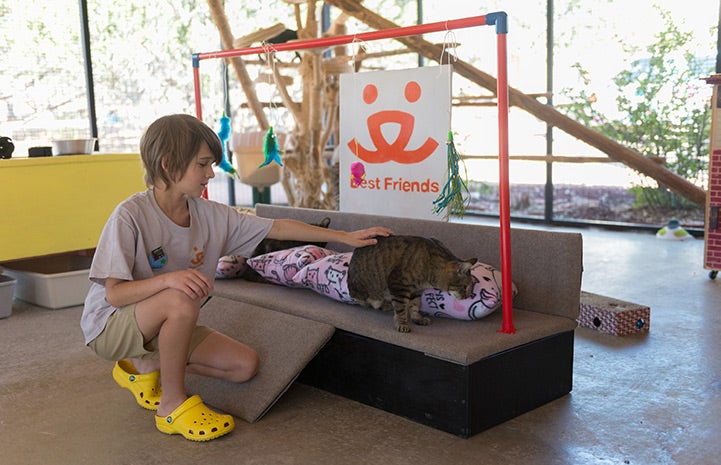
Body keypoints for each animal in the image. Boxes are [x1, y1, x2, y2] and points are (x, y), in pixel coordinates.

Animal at [350, 236, 478, 330]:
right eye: (465, 287)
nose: (467, 297)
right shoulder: (398, 285)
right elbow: (401, 308)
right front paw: (402, 323)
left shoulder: (417, 290)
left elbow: (415, 305)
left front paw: (417, 318)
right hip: (366, 292)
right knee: (370, 302)